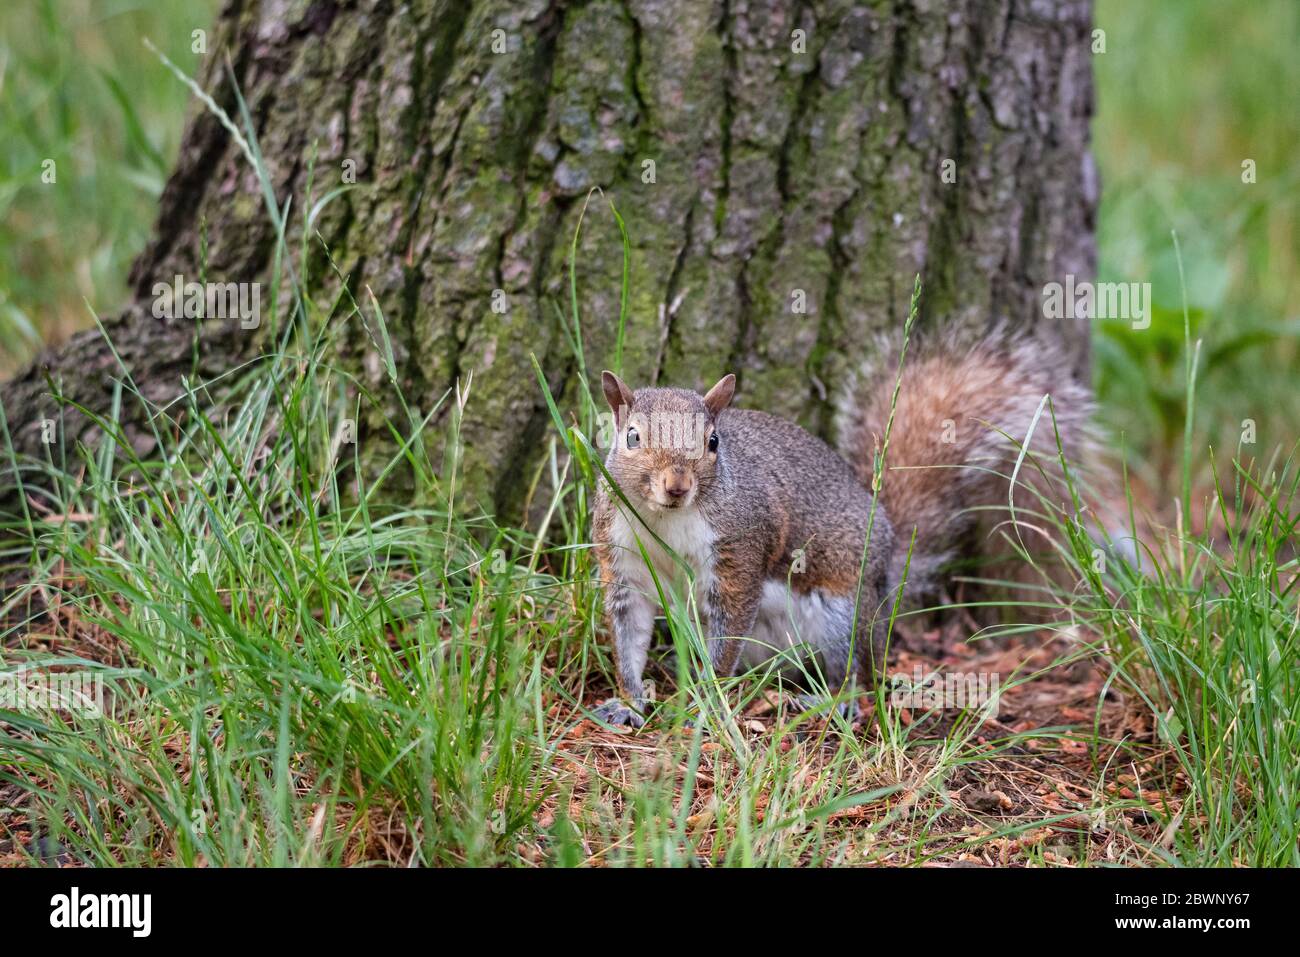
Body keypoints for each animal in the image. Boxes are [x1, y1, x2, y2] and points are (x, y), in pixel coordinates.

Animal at [595, 328, 1092, 722]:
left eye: (713, 441)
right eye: (632, 436)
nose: (677, 485)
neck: (667, 518)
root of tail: (886, 559)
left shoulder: (740, 549)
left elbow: (728, 628)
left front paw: (707, 700)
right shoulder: (621, 557)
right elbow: (628, 630)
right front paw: (629, 700)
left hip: (842, 612)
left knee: (853, 669)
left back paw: (833, 700)